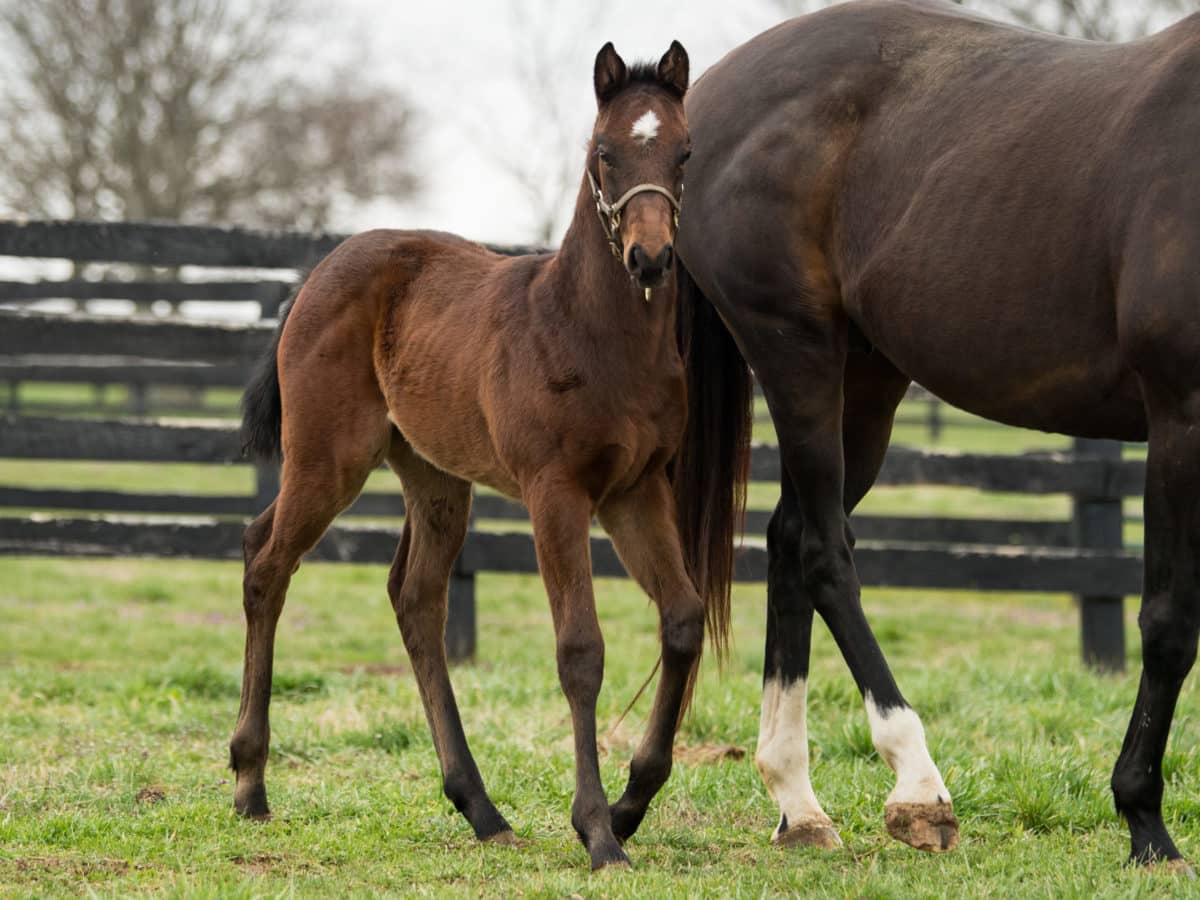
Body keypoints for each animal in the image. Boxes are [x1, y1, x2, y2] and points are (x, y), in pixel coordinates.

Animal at [229, 44, 724, 873]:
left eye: (684, 152)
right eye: (604, 151)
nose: (649, 257)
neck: (592, 330)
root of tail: (317, 275)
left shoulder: (635, 490)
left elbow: (683, 619)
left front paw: (630, 806)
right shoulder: (556, 492)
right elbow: (580, 649)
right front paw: (597, 832)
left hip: (434, 477)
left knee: (415, 597)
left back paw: (480, 807)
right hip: (329, 457)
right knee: (267, 560)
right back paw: (249, 783)